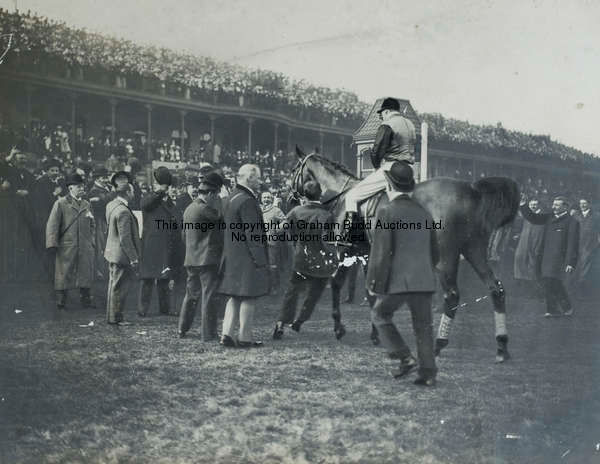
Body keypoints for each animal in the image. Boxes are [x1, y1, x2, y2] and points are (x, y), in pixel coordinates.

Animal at [290, 147, 520, 364]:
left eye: (294, 170)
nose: (291, 198)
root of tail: (471, 189)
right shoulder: (368, 254)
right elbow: (371, 293)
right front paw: (375, 334)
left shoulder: (344, 250)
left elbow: (337, 284)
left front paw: (338, 328)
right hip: (474, 250)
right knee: (496, 289)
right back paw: (502, 347)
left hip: (446, 258)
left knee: (453, 296)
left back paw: (438, 345)